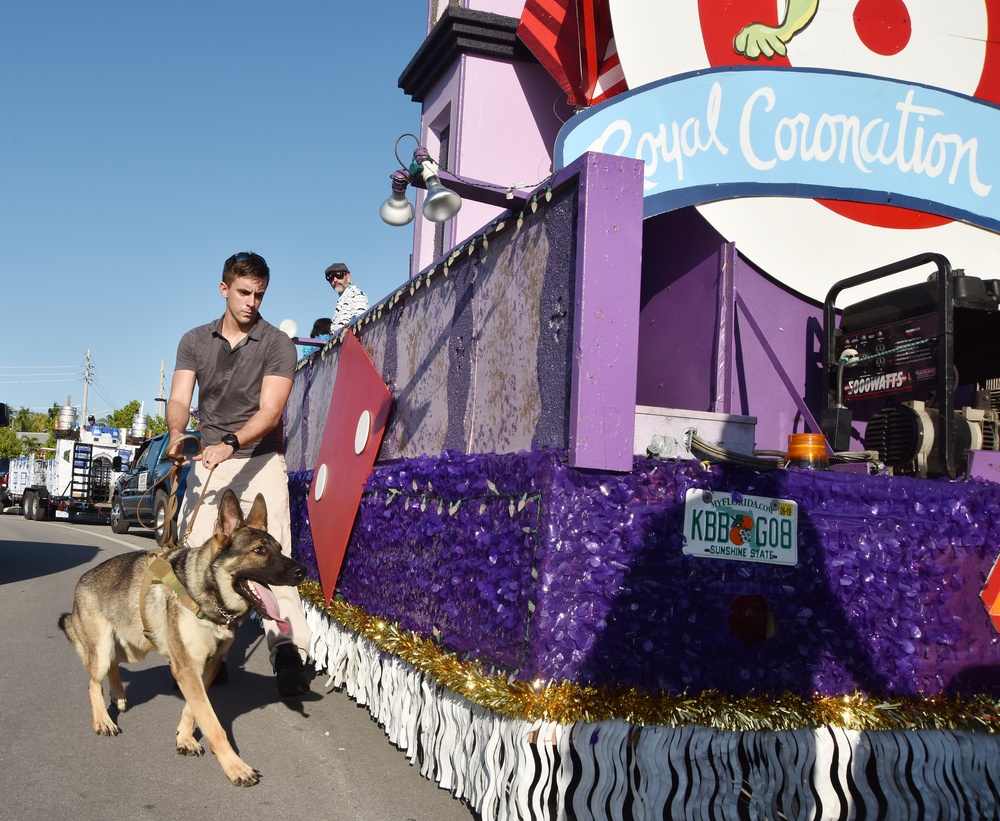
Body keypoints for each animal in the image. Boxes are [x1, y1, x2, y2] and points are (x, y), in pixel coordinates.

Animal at [57, 490, 304, 784]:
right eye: (259, 551)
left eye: (280, 549)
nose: (303, 572)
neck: (205, 593)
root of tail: (82, 581)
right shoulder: (187, 669)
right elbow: (213, 723)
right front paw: (235, 766)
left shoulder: (206, 668)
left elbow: (193, 709)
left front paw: (185, 738)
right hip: (104, 649)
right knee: (93, 683)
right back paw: (103, 720)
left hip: (133, 648)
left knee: (115, 666)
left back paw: (118, 695)